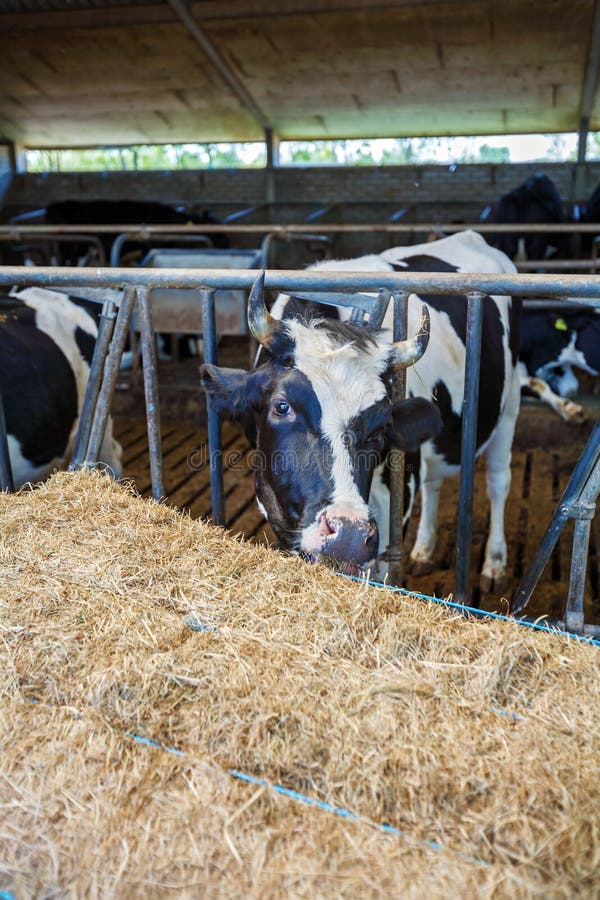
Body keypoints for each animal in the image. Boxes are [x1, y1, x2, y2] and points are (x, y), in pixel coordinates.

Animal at [202, 229, 520, 596]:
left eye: (381, 427)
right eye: (282, 406)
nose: (349, 534)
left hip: (509, 406)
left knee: (498, 482)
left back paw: (494, 563)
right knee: (434, 482)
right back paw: (424, 550)